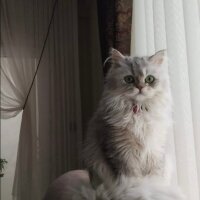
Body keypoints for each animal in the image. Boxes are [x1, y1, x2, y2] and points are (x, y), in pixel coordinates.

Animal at [81, 48, 184, 200]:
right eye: (129, 79)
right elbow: (132, 179)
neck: (139, 111)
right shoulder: (121, 150)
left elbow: (155, 178)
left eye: (149, 79)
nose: (140, 87)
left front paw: (152, 189)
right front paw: (137, 191)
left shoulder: (154, 151)